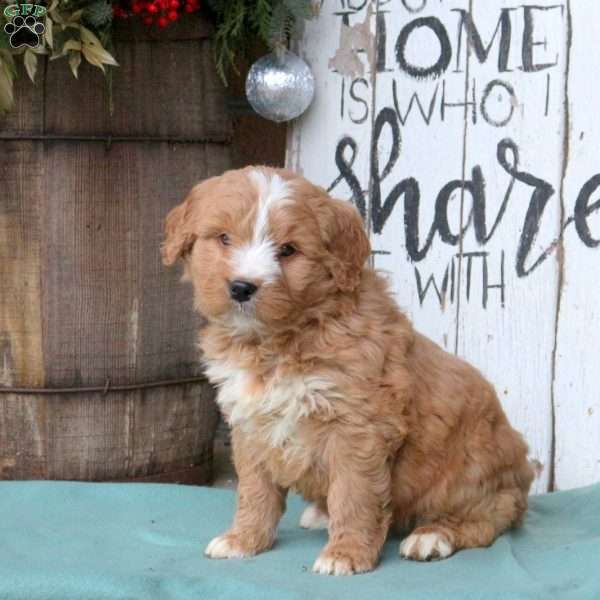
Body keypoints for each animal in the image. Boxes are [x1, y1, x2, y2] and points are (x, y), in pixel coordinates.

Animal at [161, 166, 536, 576]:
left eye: (288, 250)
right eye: (224, 238)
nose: (242, 287)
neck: (278, 340)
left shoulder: (358, 426)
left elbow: (355, 494)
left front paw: (346, 553)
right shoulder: (251, 424)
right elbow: (255, 491)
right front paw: (243, 539)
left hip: (470, 472)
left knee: (490, 517)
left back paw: (433, 536)